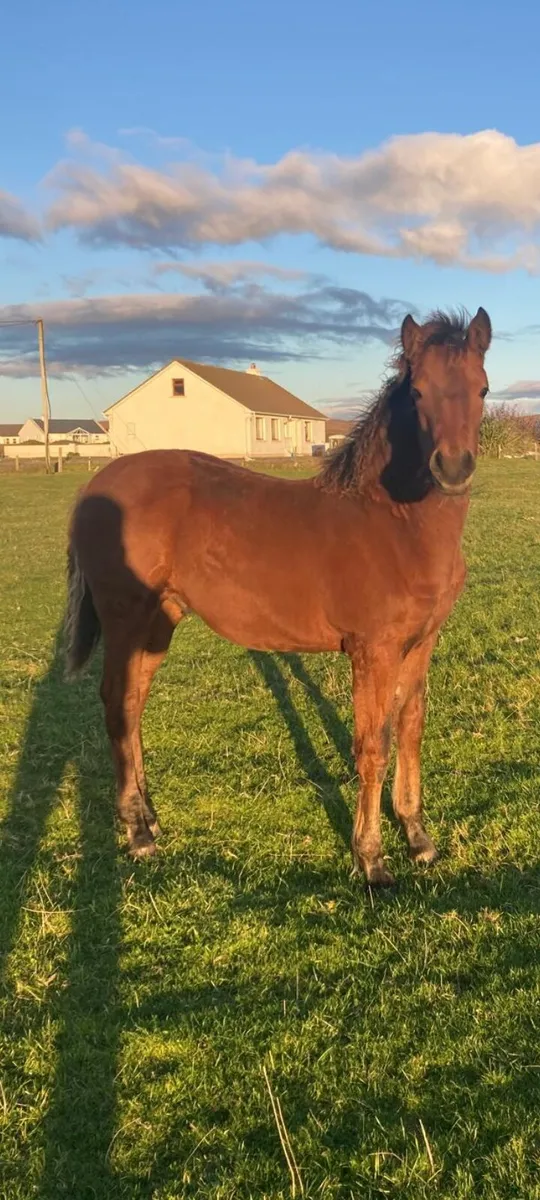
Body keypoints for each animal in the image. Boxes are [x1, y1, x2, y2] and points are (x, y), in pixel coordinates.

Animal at [65, 307, 491, 886]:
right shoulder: (373, 650)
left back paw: (150, 820)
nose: (453, 468)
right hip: (125, 618)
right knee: (115, 702)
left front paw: (419, 838)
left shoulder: (421, 643)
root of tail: (93, 487)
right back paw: (137, 834)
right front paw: (371, 858)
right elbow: (372, 745)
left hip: (159, 621)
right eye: (419, 392)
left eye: (483, 389)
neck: (394, 524)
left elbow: (410, 729)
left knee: (132, 704)